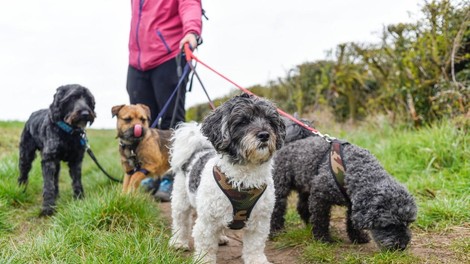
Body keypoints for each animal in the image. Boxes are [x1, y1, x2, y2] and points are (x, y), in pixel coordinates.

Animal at [18, 84, 95, 217]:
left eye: (88, 99)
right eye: (72, 98)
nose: (85, 113)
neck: (68, 132)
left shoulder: (76, 160)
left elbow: (77, 181)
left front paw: (79, 200)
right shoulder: (49, 160)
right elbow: (48, 184)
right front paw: (48, 208)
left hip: (57, 163)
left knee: (56, 178)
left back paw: (57, 195)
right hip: (26, 154)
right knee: (23, 172)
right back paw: (21, 189)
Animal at [170, 93, 286, 264]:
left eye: (270, 121)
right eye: (243, 121)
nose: (265, 135)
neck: (243, 180)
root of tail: (197, 151)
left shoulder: (260, 221)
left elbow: (255, 245)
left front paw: (257, 260)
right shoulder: (207, 221)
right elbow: (206, 246)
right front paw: (204, 260)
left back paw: (220, 238)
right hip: (181, 200)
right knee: (181, 222)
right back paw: (178, 242)